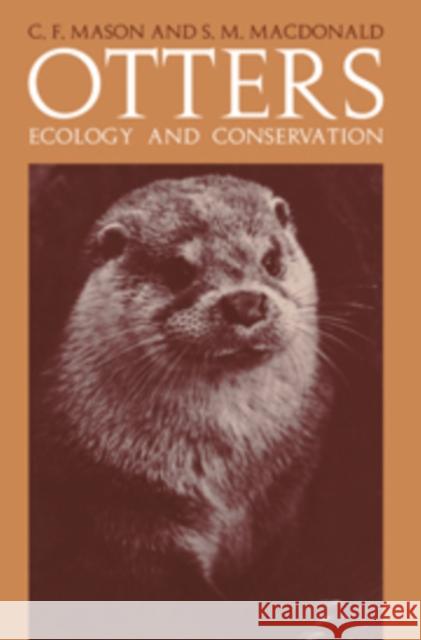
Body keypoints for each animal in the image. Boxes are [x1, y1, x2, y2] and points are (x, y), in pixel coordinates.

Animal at [31, 174, 333, 599]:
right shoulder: (124, 512)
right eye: (178, 271)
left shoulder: (285, 492)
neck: (229, 481)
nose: (246, 303)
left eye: (272, 260)